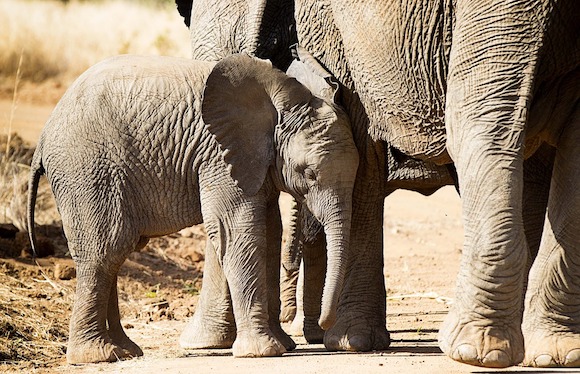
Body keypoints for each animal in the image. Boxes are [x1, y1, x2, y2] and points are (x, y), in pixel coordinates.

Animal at [29, 54, 360, 364]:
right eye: (309, 173)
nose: (323, 328)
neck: (282, 102)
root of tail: (43, 138)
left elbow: (268, 230)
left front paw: (283, 345)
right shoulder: (218, 154)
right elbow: (239, 229)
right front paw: (264, 352)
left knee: (114, 254)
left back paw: (124, 351)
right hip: (86, 170)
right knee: (104, 249)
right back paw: (96, 356)